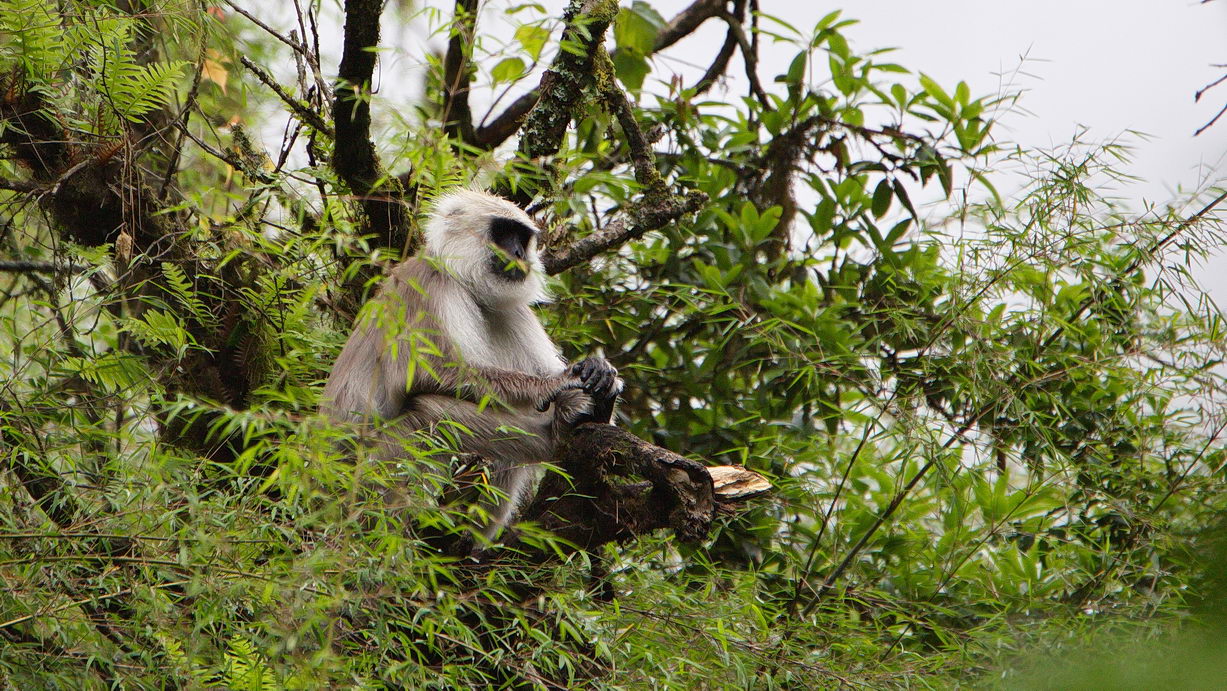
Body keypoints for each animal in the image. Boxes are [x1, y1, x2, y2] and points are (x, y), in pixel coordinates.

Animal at [321, 189, 621, 535]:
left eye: (522, 237)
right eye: (502, 233)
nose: (518, 252)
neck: (462, 280)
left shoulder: (510, 309)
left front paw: (600, 376)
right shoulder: (433, 285)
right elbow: (429, 373)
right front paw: (560, 385)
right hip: (367, 477)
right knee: (429, 414)